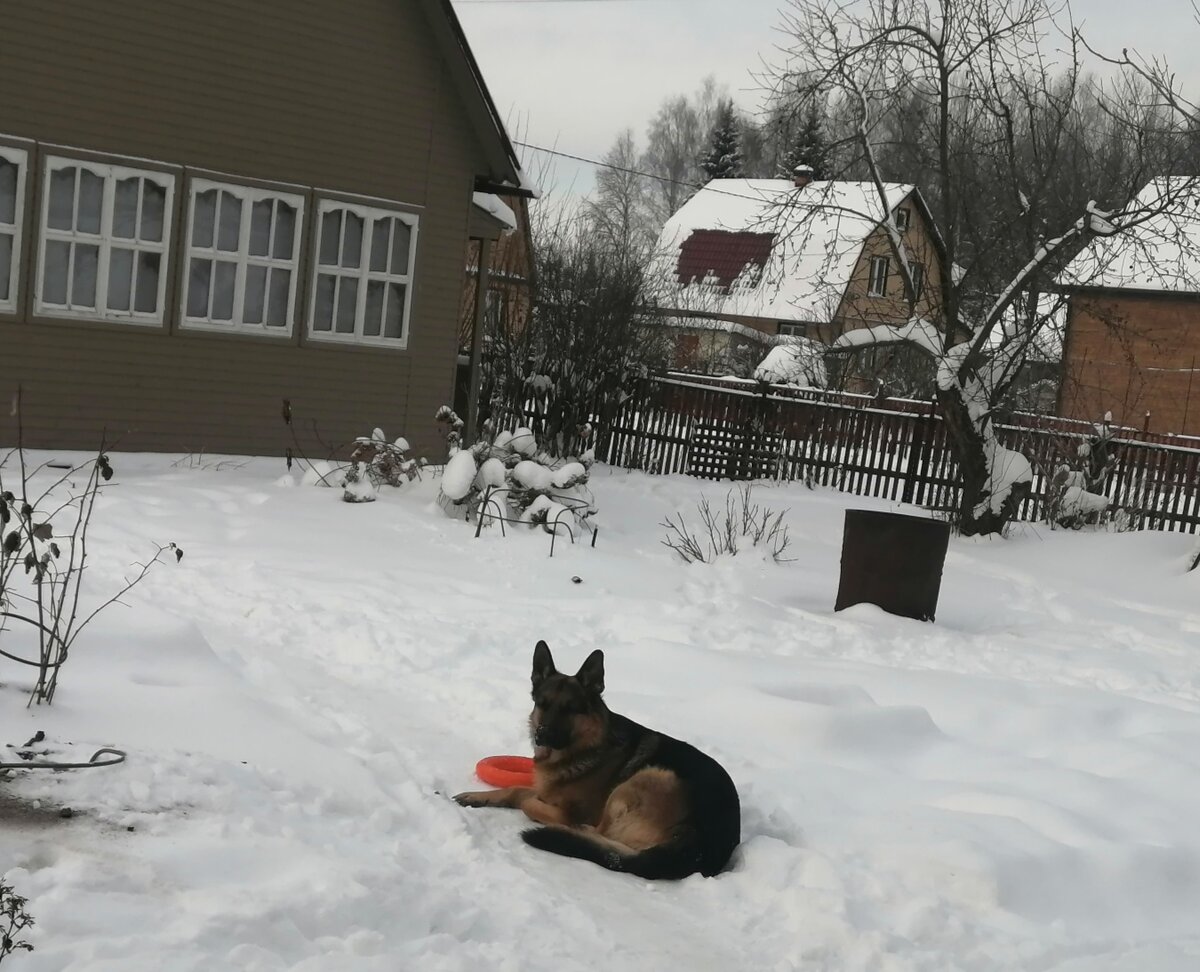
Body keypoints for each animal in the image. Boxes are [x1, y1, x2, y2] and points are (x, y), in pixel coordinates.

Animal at [453, 638, 739, 873]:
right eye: (542, 704)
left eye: (570, 709)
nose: (541, 735)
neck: (585, 746)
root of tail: (702, 847)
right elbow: (515, 789)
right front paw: (476, 797)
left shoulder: (570, 810)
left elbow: (527, 798)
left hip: (649, 777)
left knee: (600, 833)